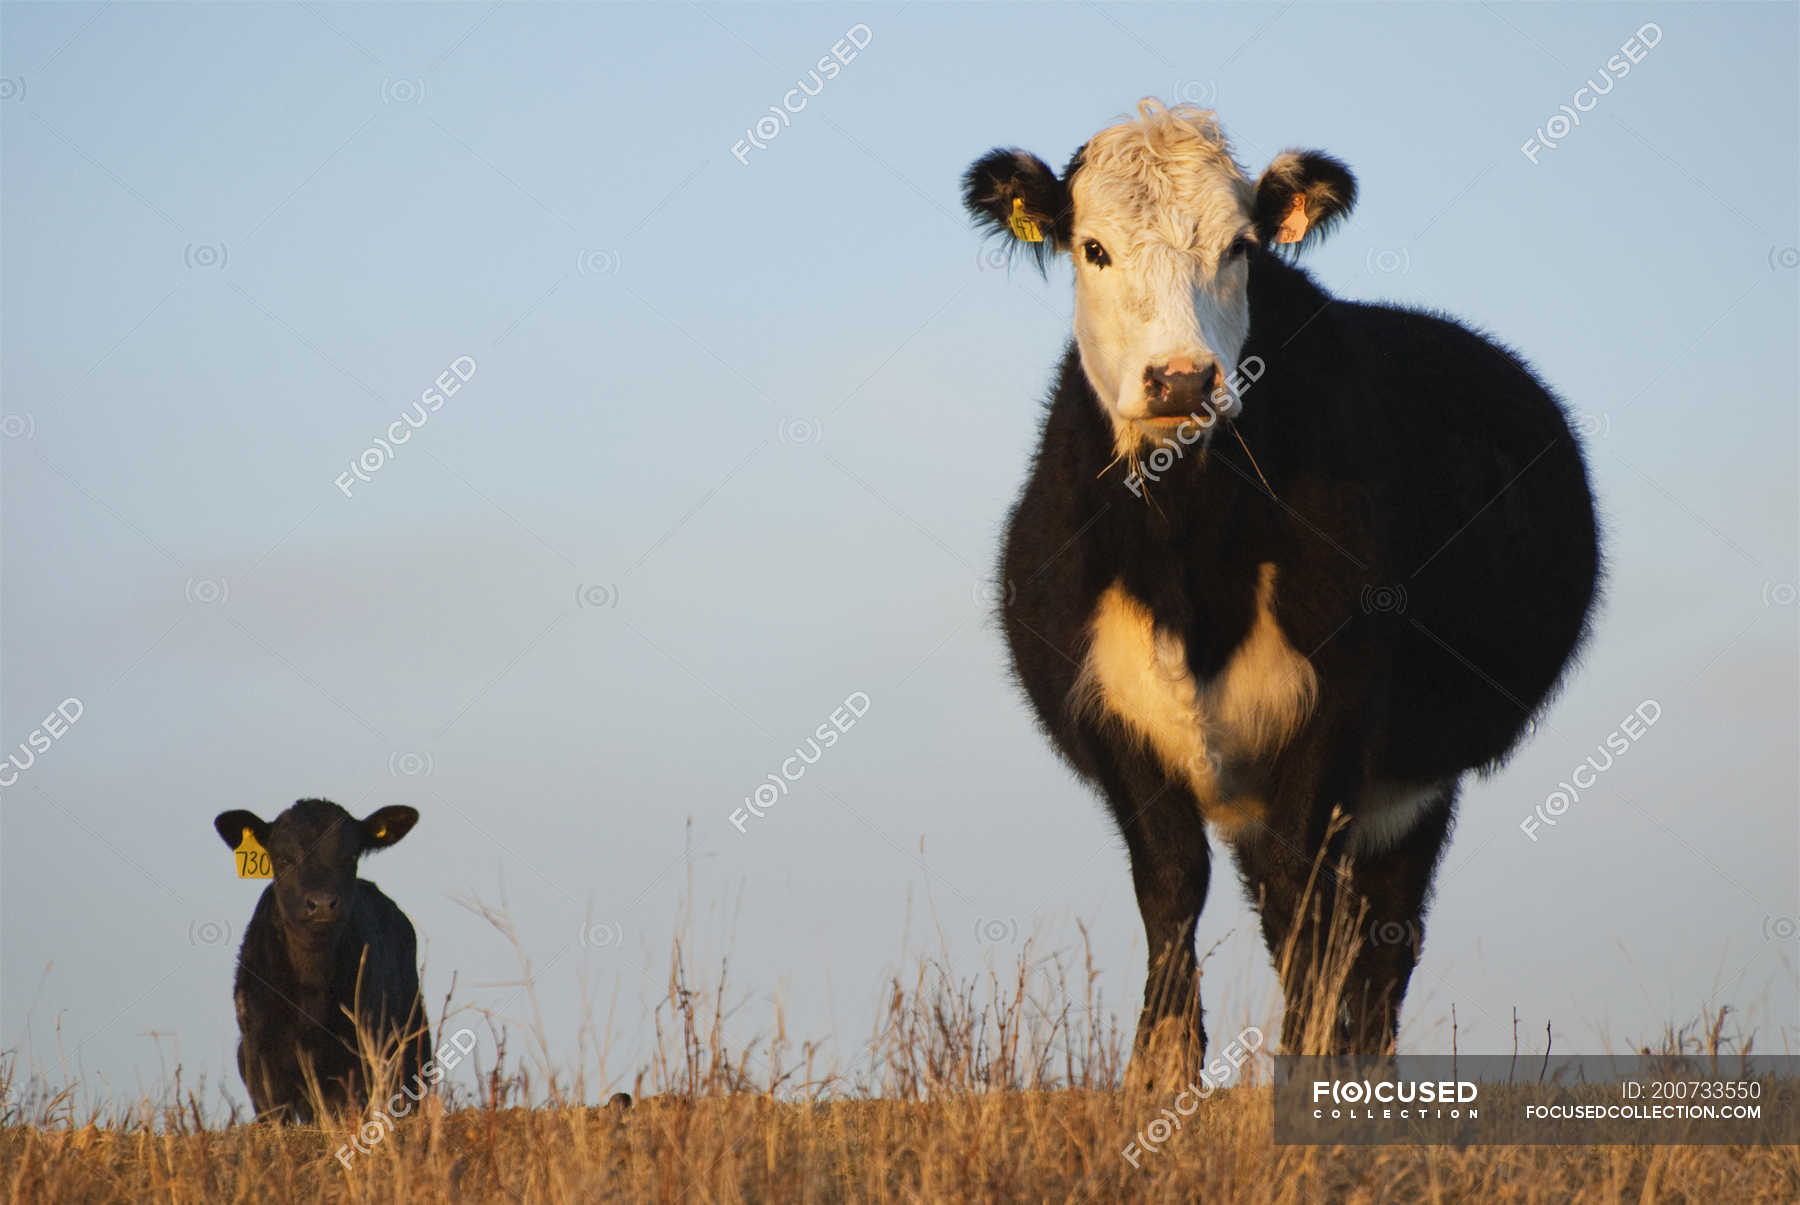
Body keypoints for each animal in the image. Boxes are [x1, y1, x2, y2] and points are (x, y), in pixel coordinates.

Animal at [962, 101, 1599, 1074]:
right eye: (1094, 248)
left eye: (1239, 248)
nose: (1182, 376)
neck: (1190, 566)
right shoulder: (1109, 707)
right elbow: (1172, 885)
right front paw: (1158, 1071)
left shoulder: (1337, 701)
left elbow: (1313, 906)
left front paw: (1302, 1068)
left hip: (1412, 778)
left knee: (1381, 928)